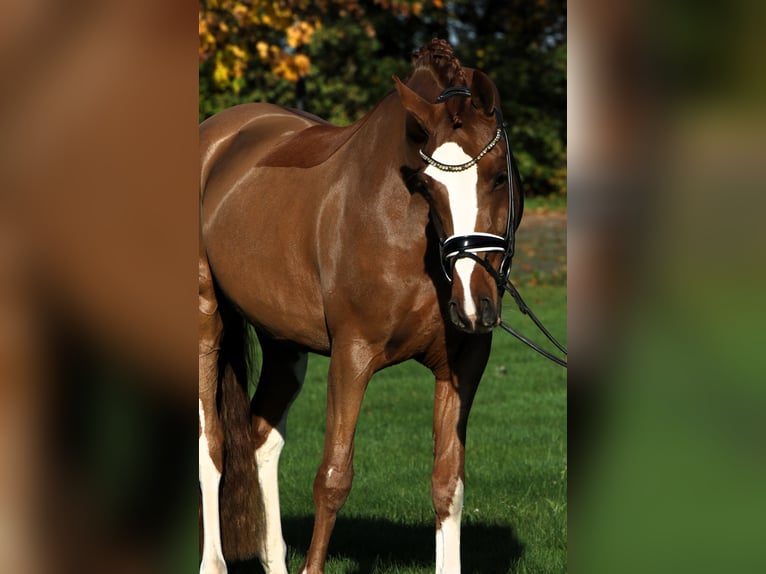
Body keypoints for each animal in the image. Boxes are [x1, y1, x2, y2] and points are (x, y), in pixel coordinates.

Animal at [196, 40, 520, 574]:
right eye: (427, 186)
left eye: (497, 177)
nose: (475, 305)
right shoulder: (352, 356)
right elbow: (333, 477)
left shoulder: (463, 365)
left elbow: (448, 483)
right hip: (208, 323)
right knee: (213, 446)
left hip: (284, 342)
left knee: (262, 435)